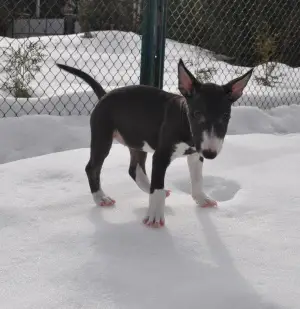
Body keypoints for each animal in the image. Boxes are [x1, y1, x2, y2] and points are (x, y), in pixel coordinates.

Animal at [56, 59, 253, 226]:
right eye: (197, 114)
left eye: (225, 117)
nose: (210, 154)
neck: (185, 123)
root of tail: (105, 95)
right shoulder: (161, 156)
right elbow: (157, 187)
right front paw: (155, 217)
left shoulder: (196, 154)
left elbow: (197, 179)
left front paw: (201, 199)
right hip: (102, 137)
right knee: (92, 167)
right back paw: (100, 198)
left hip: (136, 140)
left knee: (134, 169)